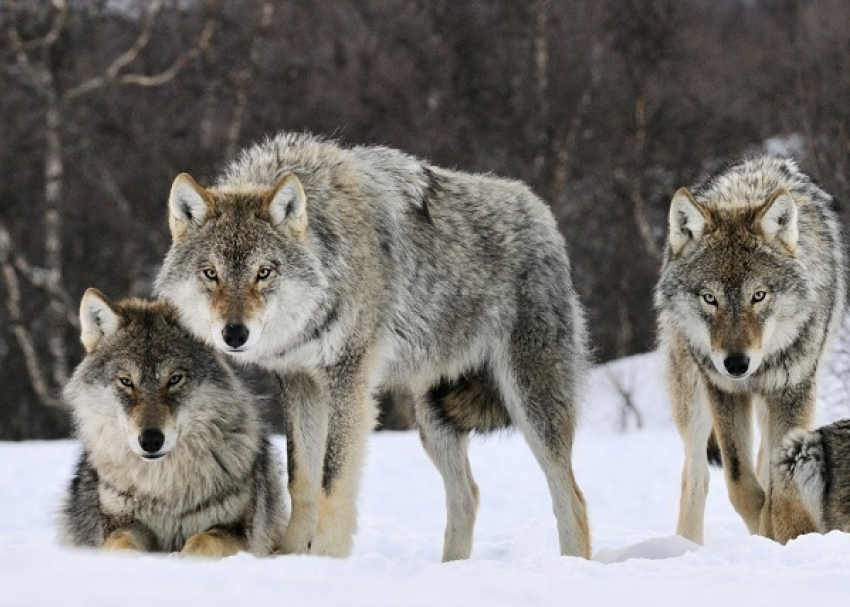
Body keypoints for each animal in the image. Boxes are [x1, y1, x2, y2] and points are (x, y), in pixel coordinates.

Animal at [58, 292, 288, 560]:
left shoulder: (236, 530)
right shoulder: (120, 523)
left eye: (175, 379)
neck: (164, 488)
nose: (150, 440)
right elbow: (120, 543)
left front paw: (182, 558)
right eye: (126, 381)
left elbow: (203, 540)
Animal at [152, 132, 588, 560]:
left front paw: (326, 558)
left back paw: (571, 564)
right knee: (468, 495)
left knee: (572, 498)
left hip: (531, 404)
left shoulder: (349, 382)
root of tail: (541, 212)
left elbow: (332, 481)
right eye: (211, 273)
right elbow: (301, 480)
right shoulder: (299, 382)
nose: (234, 334)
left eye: (264, 272)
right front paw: (291, 556)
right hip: (433, 418)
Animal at [656, 154, 840, 544]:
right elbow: (740, 484)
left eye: (758, 295)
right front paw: (763, 530)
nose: (737, 364)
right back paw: (686, 546)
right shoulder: (723, 391)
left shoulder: (793, 391)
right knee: (696, 474)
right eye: (710, 298)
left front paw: (780, 534)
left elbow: (778, 485)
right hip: (692, 398)